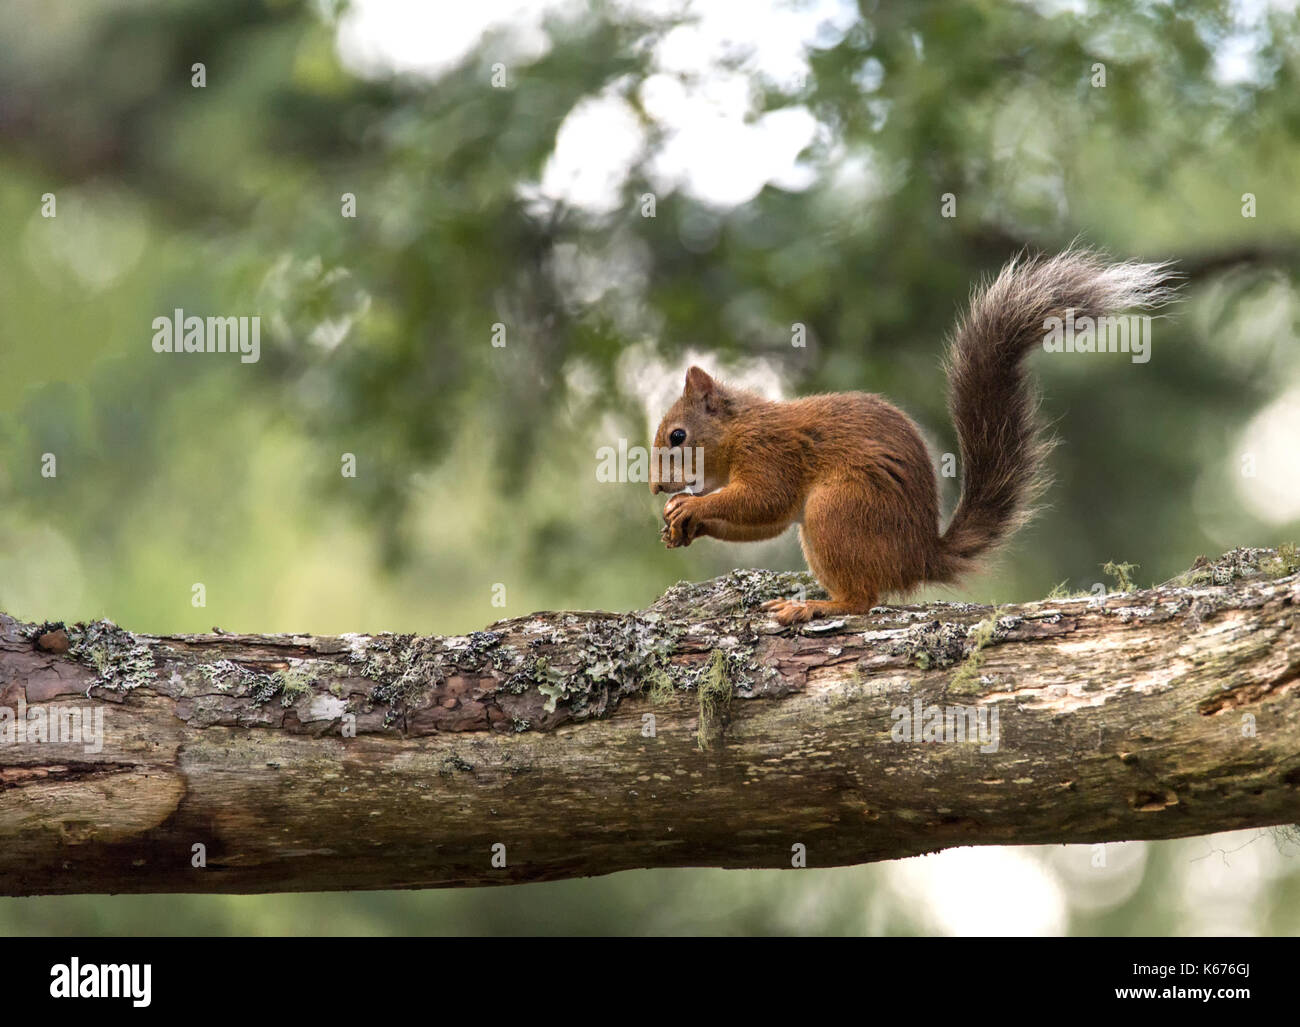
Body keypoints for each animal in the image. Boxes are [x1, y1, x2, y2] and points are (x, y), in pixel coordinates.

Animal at [647, 249, 1170, 626]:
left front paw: (690, 506)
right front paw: (680, 521)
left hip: (837, 512)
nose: (655, 487)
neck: (740, 430)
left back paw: (817, 605)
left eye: (678, 436)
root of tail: (919, 557)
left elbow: (762, 500)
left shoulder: (771, 454)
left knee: (862, 599)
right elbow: (762, 522)